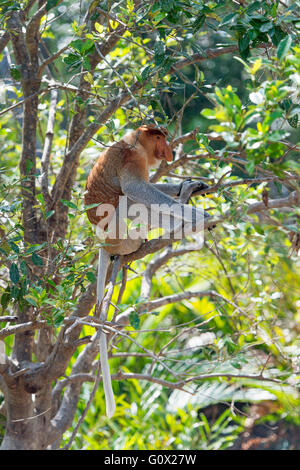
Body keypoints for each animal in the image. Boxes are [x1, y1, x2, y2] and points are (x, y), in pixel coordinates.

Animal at [84, 124, 210, 414]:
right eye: (158, 137)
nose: (168, 150)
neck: (136, 143)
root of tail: (103, 242)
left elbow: (150, 186)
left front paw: (188, 185)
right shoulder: (132, 160)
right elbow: (138, 188)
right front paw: (196, 212)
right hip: (119, 231)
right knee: (133, 202)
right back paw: (181, 219)